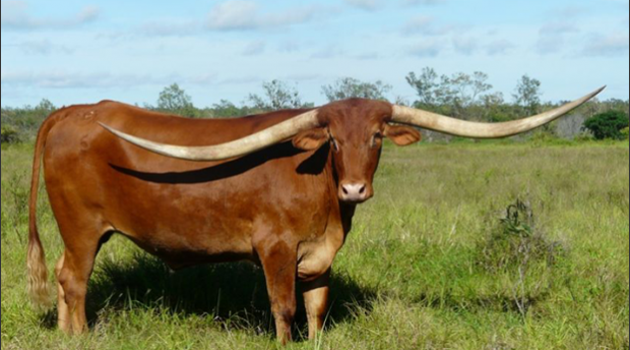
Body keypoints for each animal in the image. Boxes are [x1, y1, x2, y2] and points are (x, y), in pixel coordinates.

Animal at [28, 87, 608, 344]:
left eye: (376, 136)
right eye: (331, 139)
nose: (354, 187)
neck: (325, 199)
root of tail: (72, 111)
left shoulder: (320, 254)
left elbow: (316, 308)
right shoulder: (275, 249)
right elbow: (283, 309)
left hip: (79, 232)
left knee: (60, 278)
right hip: (82, 229)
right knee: (74, 281)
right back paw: (79, 337)